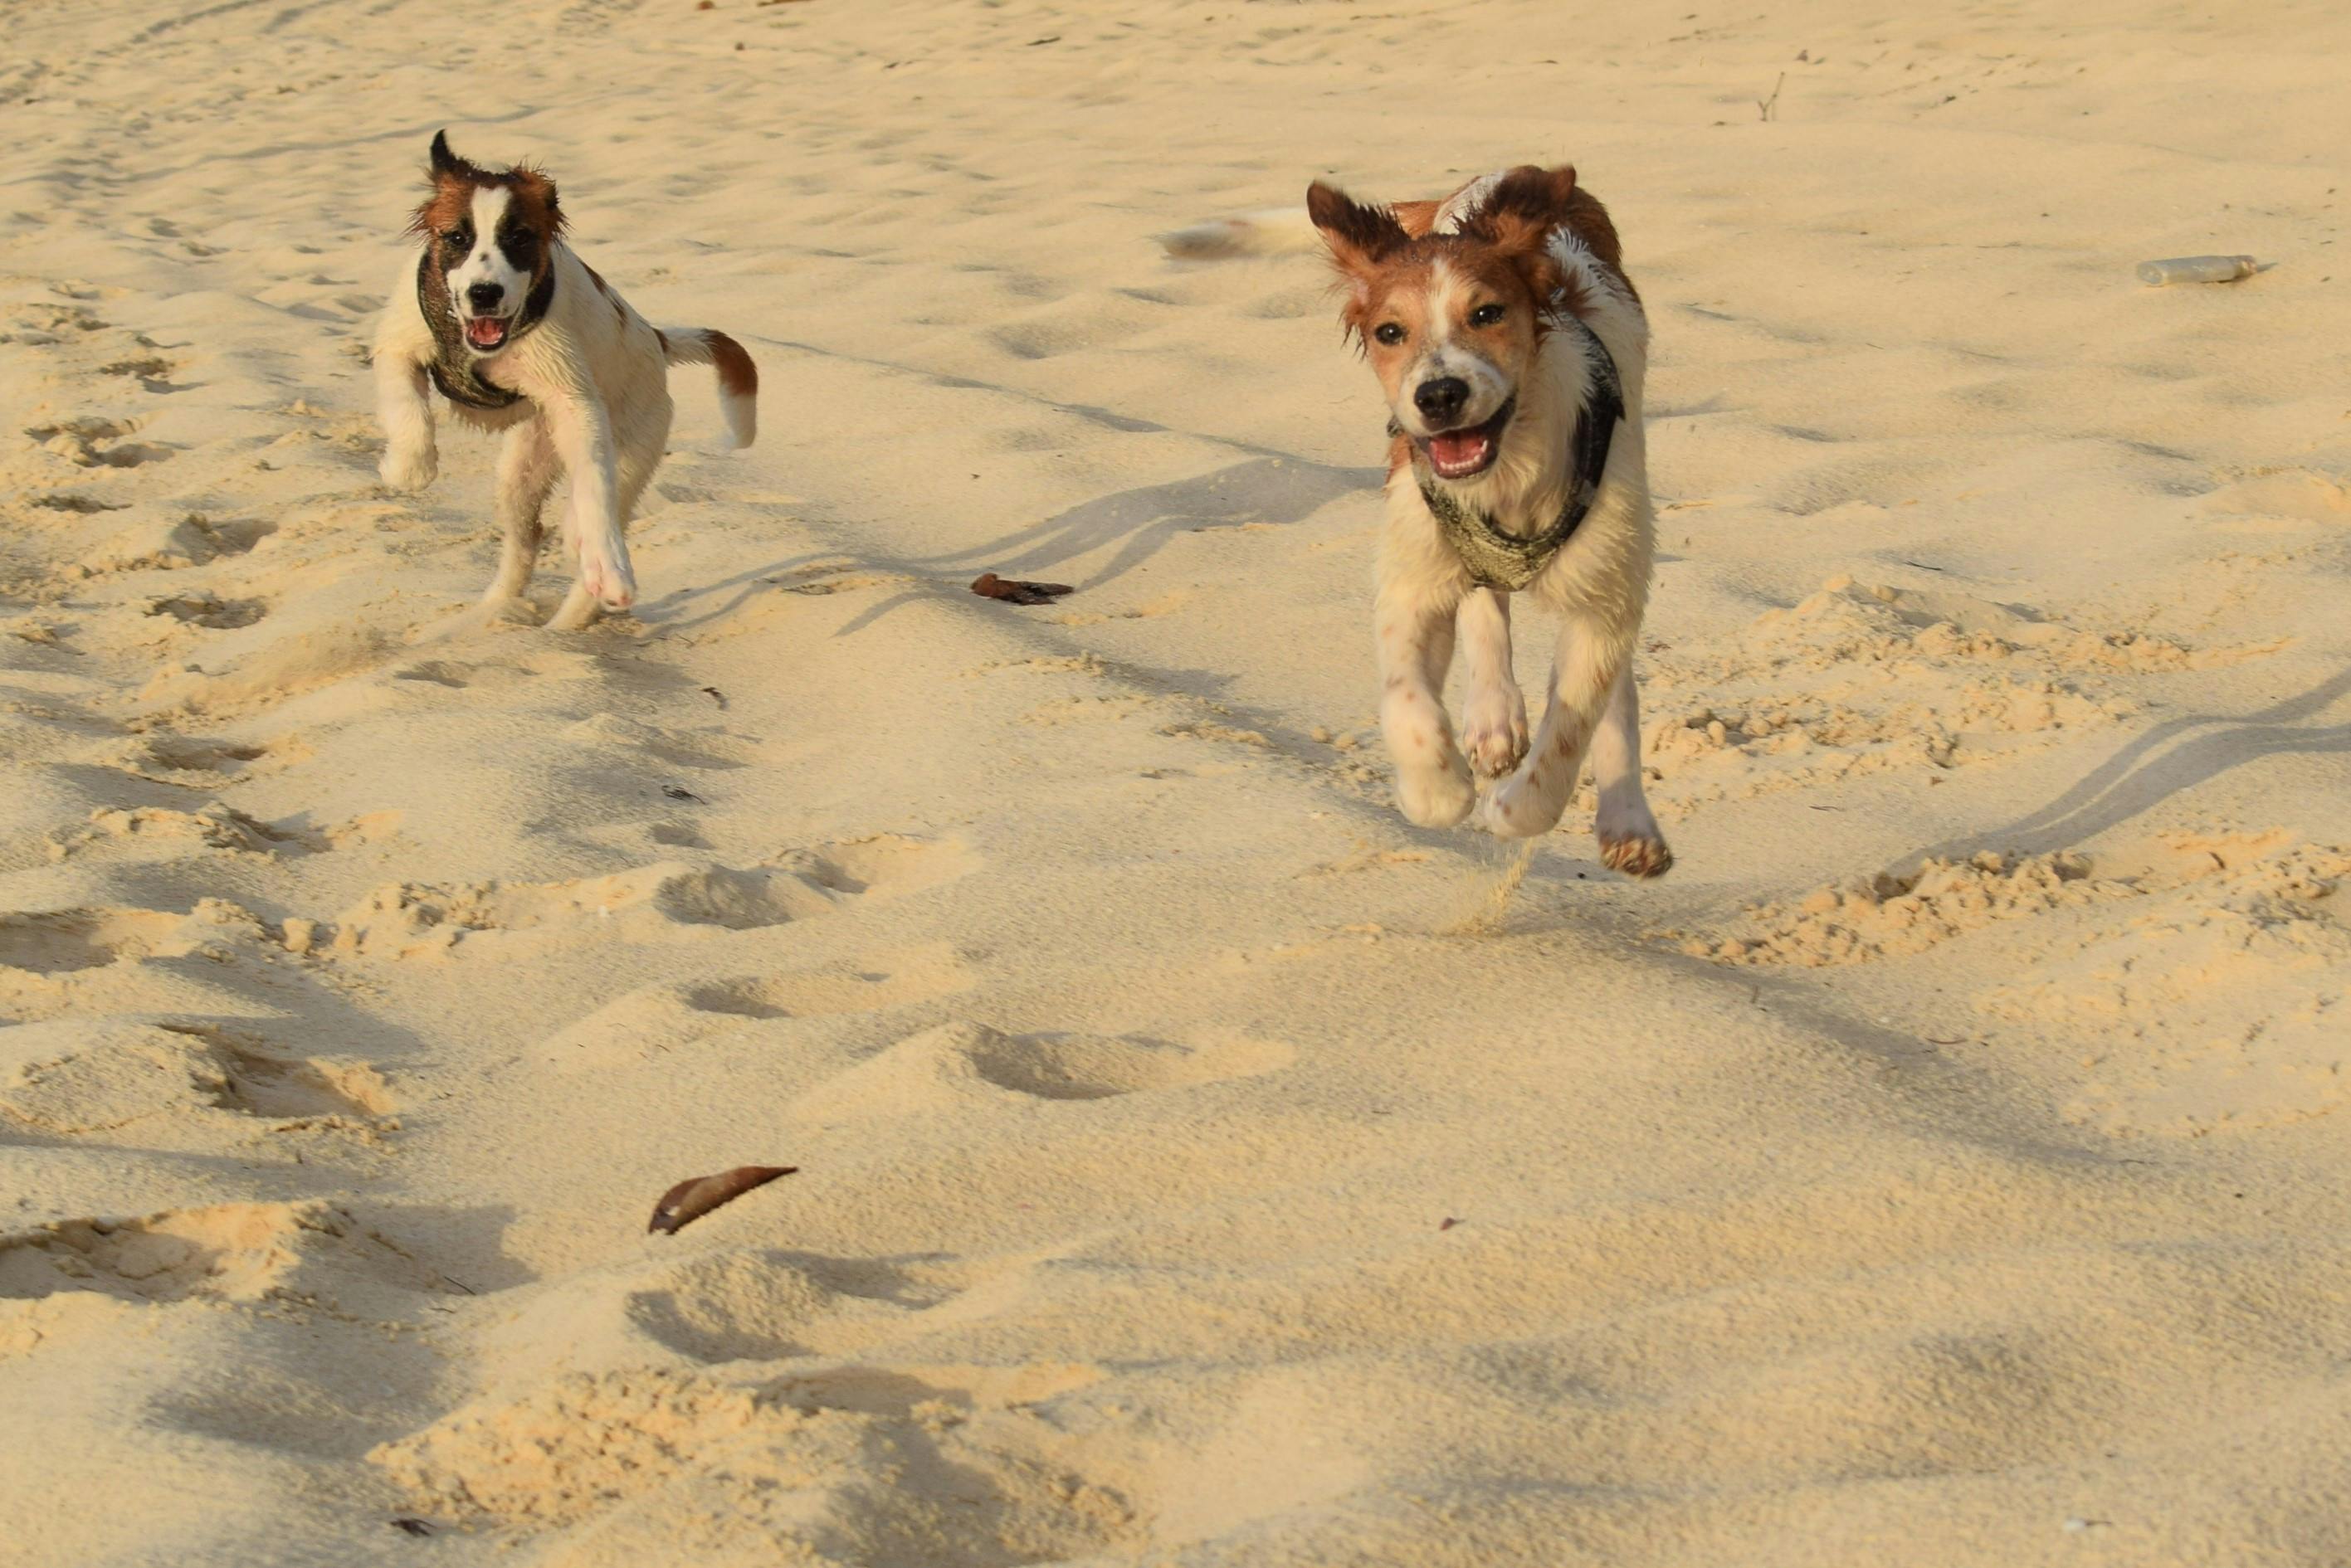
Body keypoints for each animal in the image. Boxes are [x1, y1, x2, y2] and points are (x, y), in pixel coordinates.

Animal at [371, 130, 752, 630]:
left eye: (520, 237)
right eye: (456, 237)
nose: (484, 293)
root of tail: (656, 339)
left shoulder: (575, 401)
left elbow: (593, 488)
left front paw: (609, 565)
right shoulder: (397, 346)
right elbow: (407, 406)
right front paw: (409, 468)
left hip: (632, 444)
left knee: (594, 515)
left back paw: (567, 620)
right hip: (522, 468)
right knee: (525, 537)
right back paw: (496, 612)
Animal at [1166, 167, 1664, 879]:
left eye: (1486, 314)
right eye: (1389, 333)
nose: (1438, 396)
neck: (1504, 476)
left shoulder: (1602, 597)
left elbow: (1571, 725)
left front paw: (1515, 810)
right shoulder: (1412, 576)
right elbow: (1406, 702)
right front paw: (1437, 793)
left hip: (1617, 553)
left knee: (1609, 683)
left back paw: (1628, 820)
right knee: (1485, 606)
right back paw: (1491, 718)